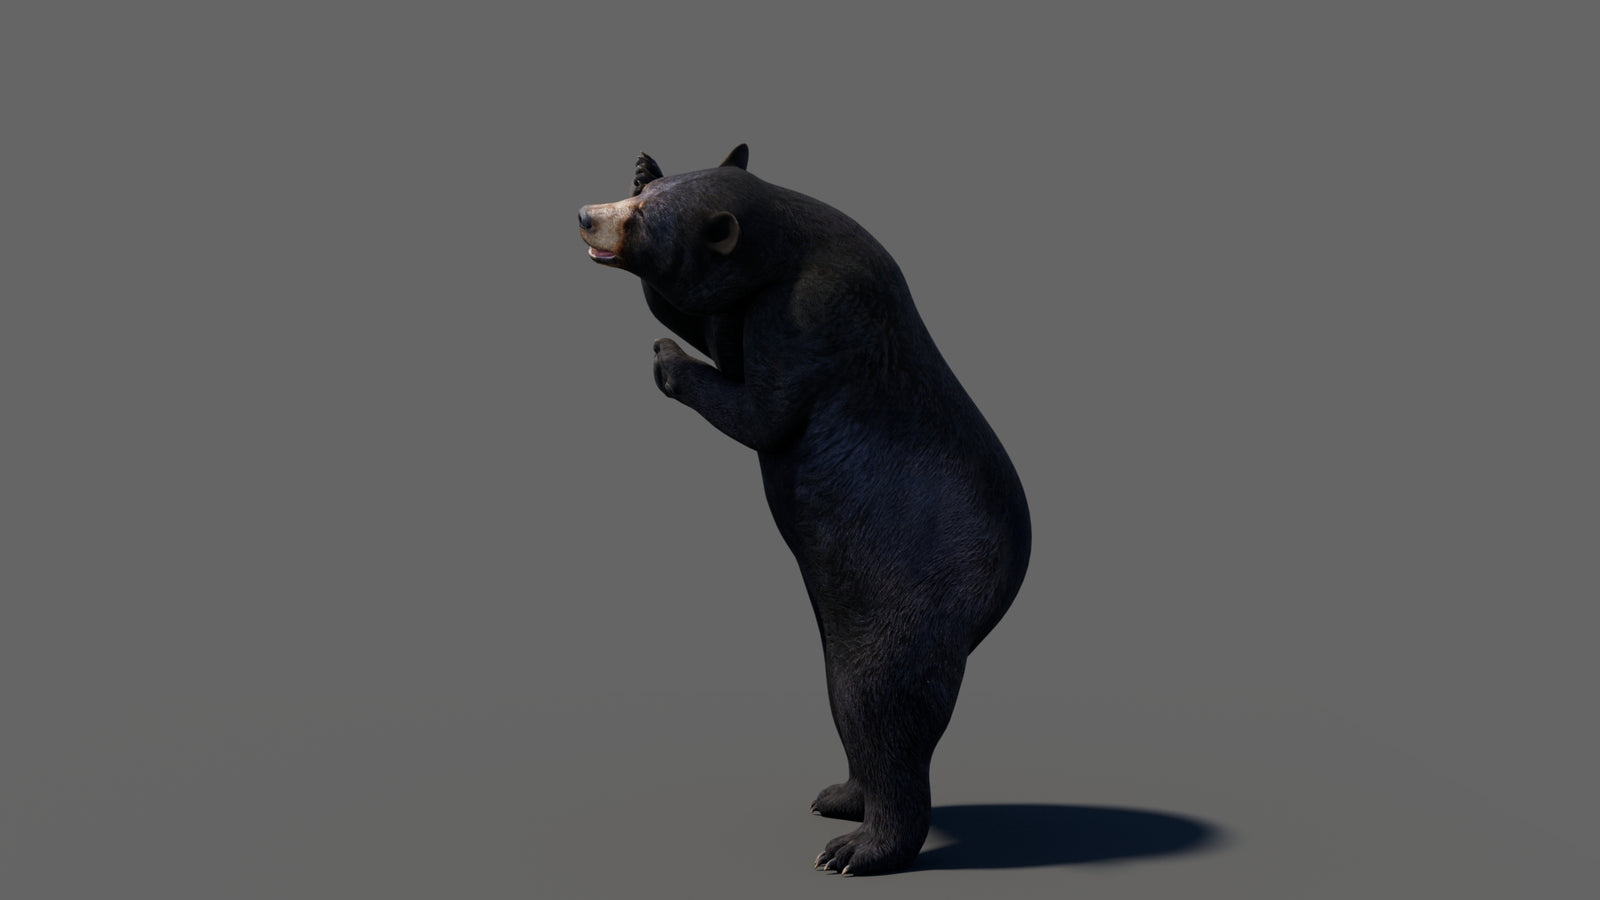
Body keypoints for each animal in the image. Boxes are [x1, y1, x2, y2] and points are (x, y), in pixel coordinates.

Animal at [578, 145, 1030, 875]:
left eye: (643, 222)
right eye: (638, 200)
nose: (587, 215)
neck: (792, 242)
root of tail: (996, 599)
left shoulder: (810, 312)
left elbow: (763, 410)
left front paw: (667, 359)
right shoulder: (751, 300)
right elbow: (713, 325)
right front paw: (645, 163)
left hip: (911, 603)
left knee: (881, 704)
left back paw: (861, 847)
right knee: (849, 705)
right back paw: (843, 796)